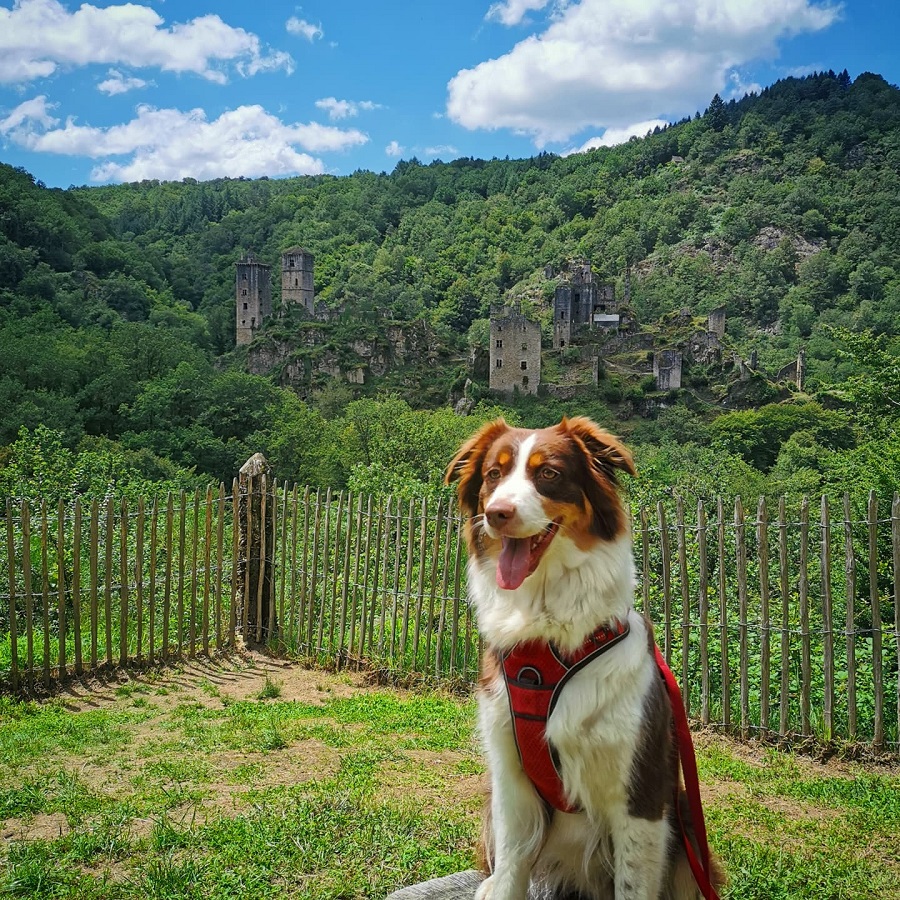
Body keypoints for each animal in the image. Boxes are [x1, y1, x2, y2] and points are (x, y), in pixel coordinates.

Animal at [444, 418, 724, 900]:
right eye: (494, 474)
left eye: (548, 473)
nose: (497, 513)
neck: (548, 641)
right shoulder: (509, 775)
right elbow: (513, 866)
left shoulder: (641, 789)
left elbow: (633, 884)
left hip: (686, 820)